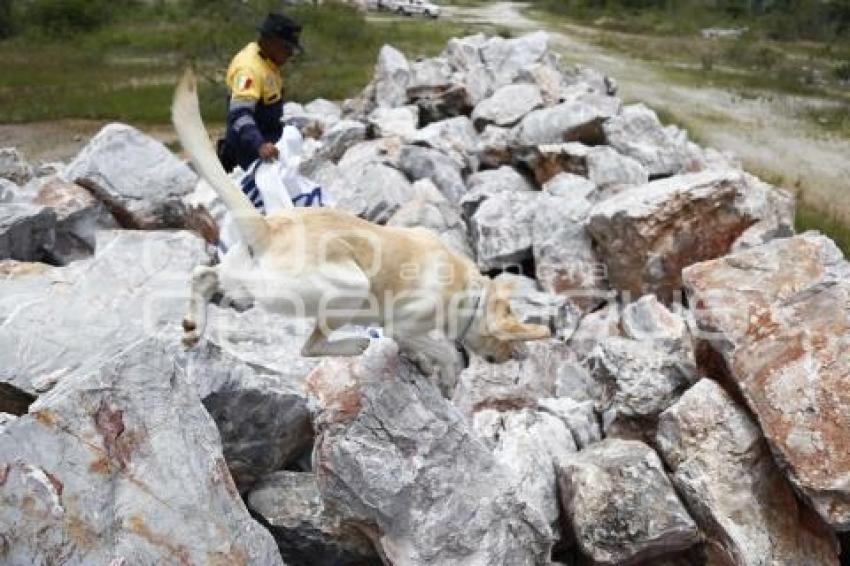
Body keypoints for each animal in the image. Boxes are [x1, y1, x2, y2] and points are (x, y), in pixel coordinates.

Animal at [172, 70, 548, 390]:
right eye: (508, 339)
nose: (513, 357)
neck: (471, 292)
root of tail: (268, 227)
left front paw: (424, 365)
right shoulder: (403, 326)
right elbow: (446, 353)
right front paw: (444, 374)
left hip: (244, 278)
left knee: (202, 274)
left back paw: (194, 327)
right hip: (344, 288)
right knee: (310, 346)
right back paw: (354, 344)